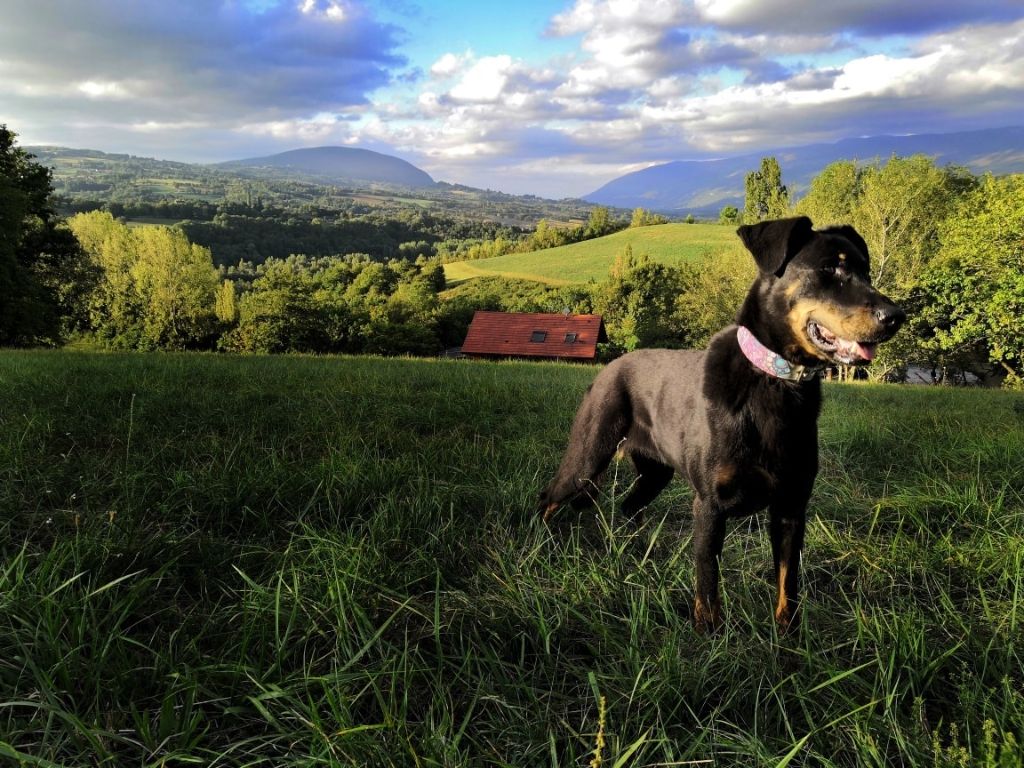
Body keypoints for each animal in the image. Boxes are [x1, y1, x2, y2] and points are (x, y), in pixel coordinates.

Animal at [540, 215, 909, 630]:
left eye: (866, 271)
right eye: (829, 268)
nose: (896, 317)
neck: (774, 380)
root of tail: (610, 367)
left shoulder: (791, 506)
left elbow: (788, 586)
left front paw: (789, 637)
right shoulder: (710, 507)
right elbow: (707, 585)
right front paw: (709, 633)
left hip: (655, 472)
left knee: (630, 505)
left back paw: (638, 555)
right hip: (588, 458)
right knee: (549, 497)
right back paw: (540, 546)